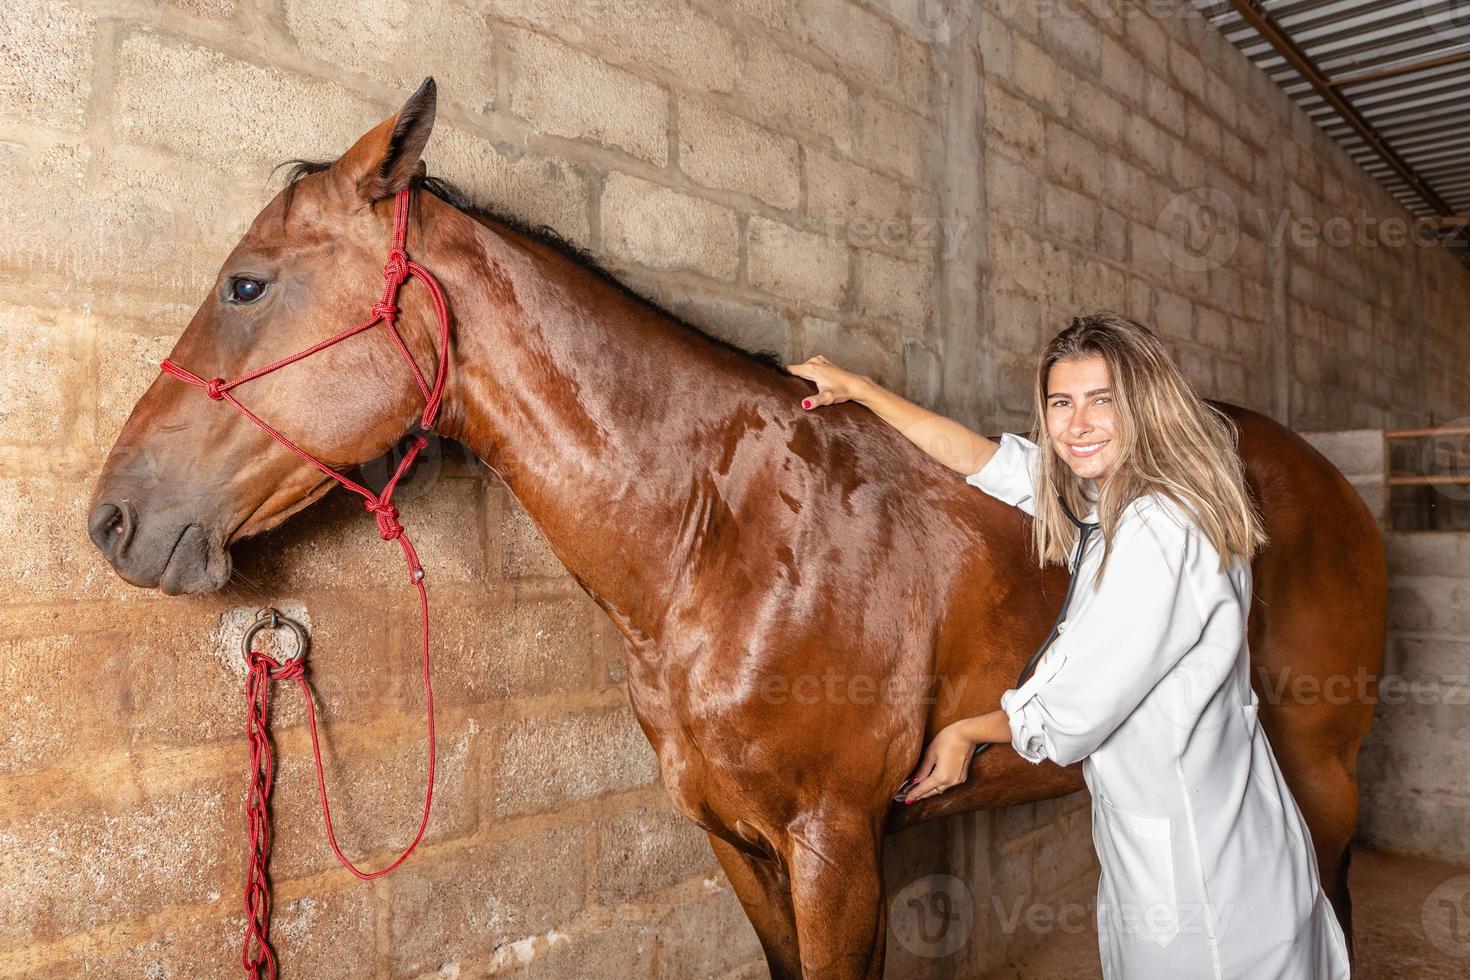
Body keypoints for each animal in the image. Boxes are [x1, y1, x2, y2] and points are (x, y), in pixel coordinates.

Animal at [88, 82, 1375, 980]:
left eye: (247, 285)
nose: (113, 518)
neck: (724, 540)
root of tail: (1333, 484)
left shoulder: (836, 842)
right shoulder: (739, 842)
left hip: (1319, 762)